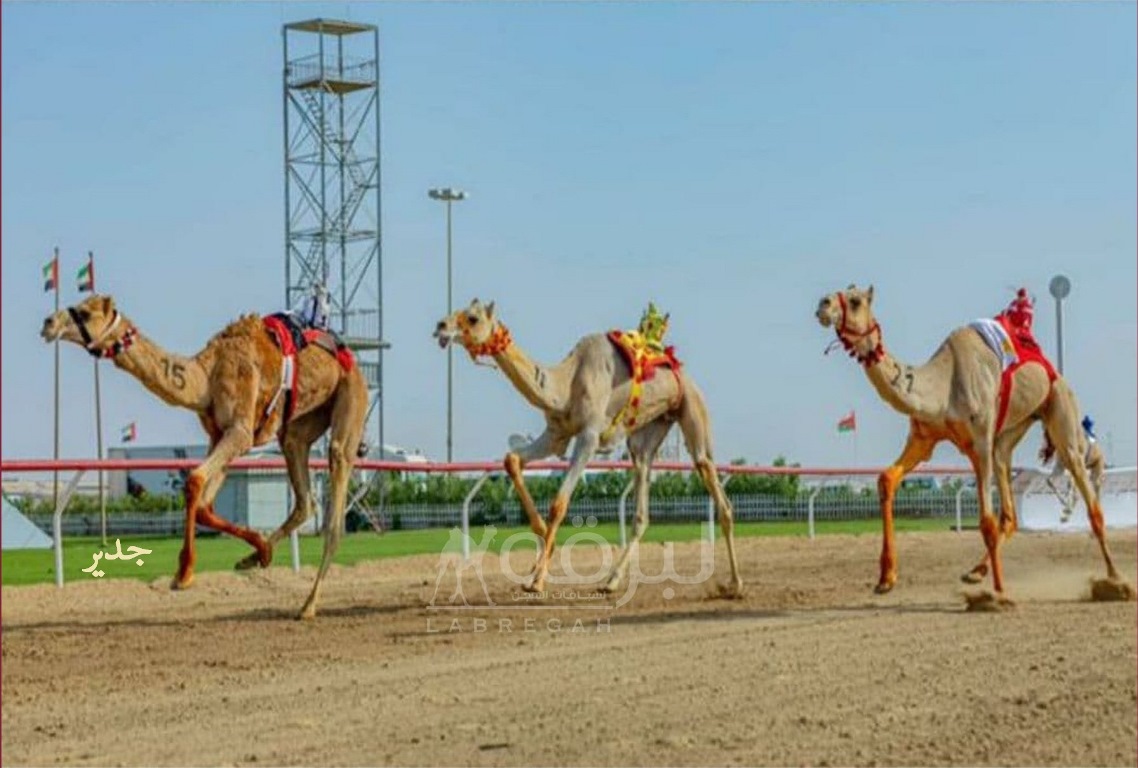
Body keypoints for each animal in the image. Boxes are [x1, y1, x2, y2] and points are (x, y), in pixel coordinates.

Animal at [41, 293, 364, 618]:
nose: (49, 322)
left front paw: (183, 574)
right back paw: (252, 559)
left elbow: (194, 480)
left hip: (351, 397)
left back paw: (308, 606)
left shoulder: (240, 431)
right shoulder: (218, 434)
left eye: (85, 312)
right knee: (304, 495)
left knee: (335, 504)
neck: (207, 376)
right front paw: (261, 549)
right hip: (298, 426)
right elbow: (205, 506)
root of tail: (350, 357)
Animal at [430, 298, 741, 596]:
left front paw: (536, 581)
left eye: (473, 317)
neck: (566, 383)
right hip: (647, 432)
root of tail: (680, 370)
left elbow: (559, 503)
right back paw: (611, 581)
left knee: (716, 487)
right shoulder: (556, 433)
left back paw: (734, 584)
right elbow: (511, 460)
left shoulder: (589, 437)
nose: (440, 325)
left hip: (692, 410)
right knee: (641, 506)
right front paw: (540, 543)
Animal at [814, 285, 1133, 605]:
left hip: (1061, 412)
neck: (943, 386)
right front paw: (885, 579)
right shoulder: (924, 438)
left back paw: (1116, 582)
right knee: (1009, 508)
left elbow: (986, 521)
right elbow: (886, 479)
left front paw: (999, 595)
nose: (823, 305)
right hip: (1010, 433)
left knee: (1089, 497)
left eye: (855, 300)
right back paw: (975, 572)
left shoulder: (979, 440)